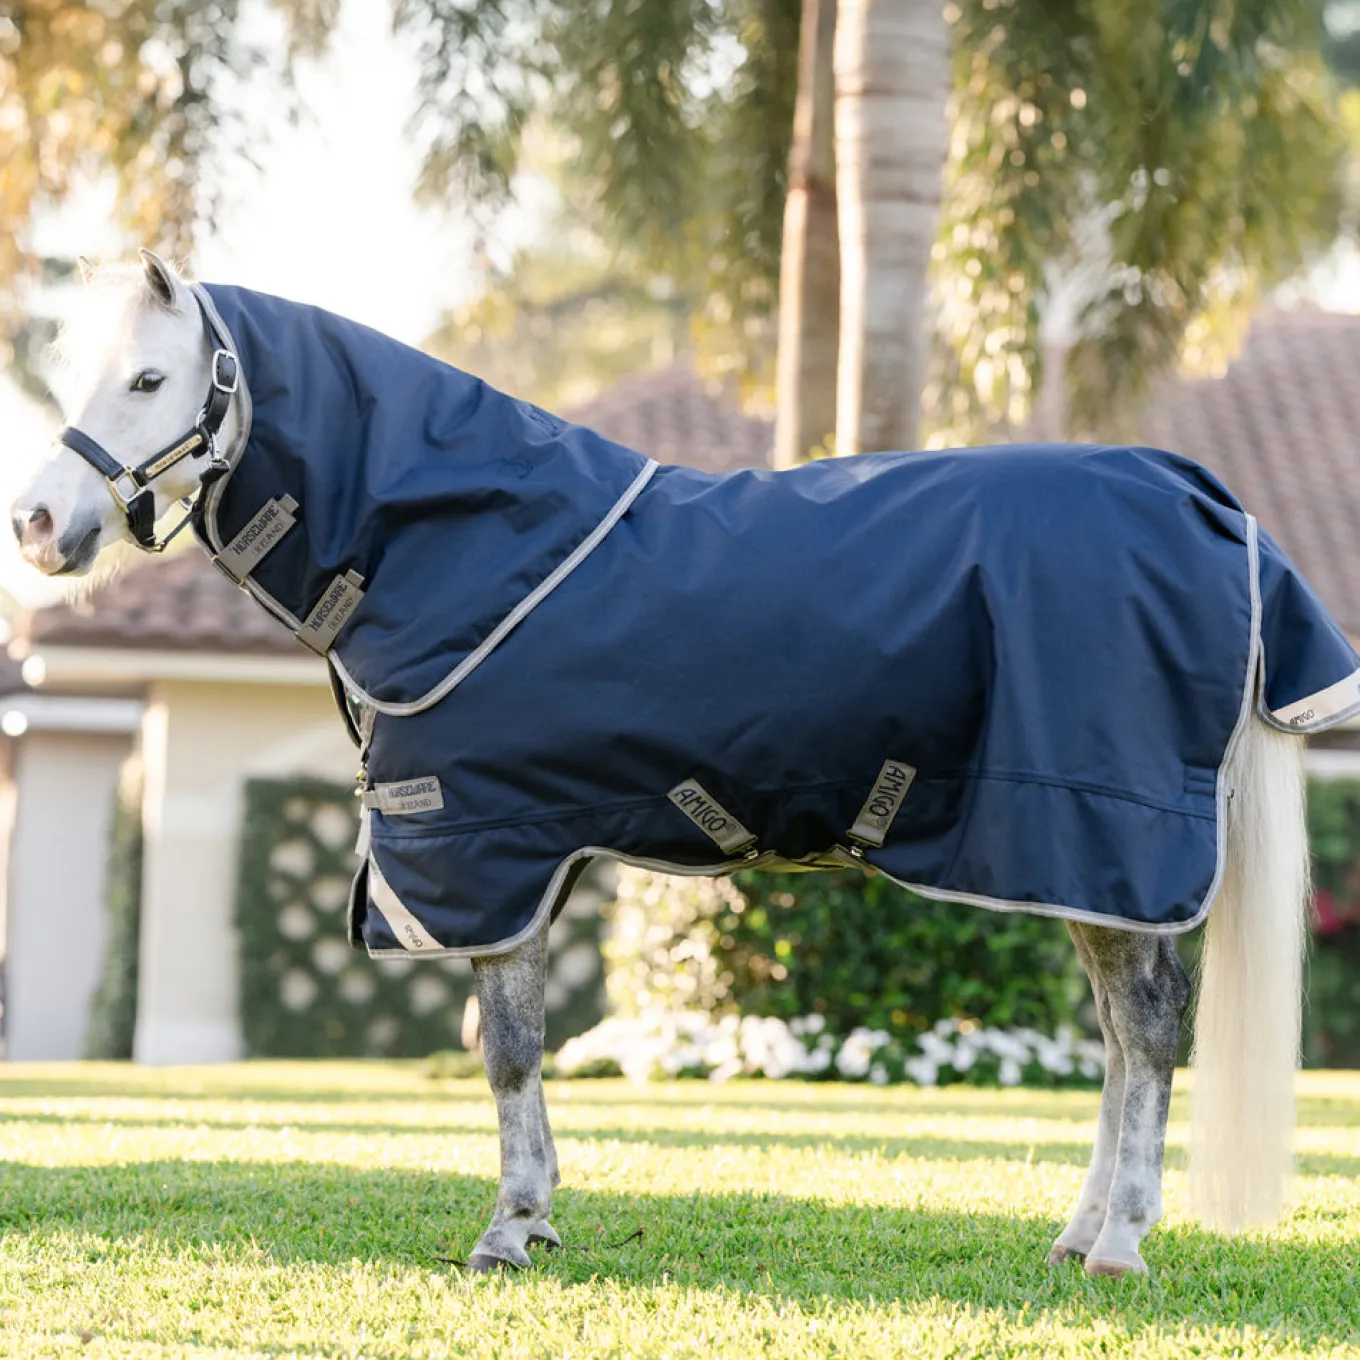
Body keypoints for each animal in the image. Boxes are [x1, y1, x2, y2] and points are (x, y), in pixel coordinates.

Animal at [11, 250, 1345, 1279]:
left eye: (149, 379)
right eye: (76, 376)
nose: (36, 524)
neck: (460, 542)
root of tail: (1206, 502)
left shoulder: (487, 851)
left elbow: (505, 1050)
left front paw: (510, 1230)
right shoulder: (521, 859)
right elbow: (516, 1044)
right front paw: (535, 1220)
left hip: (1104, 837)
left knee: (1151, 1032)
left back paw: (1118, 1242)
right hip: (1074, 861)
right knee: (1123, 1038)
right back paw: (1077, 1236)